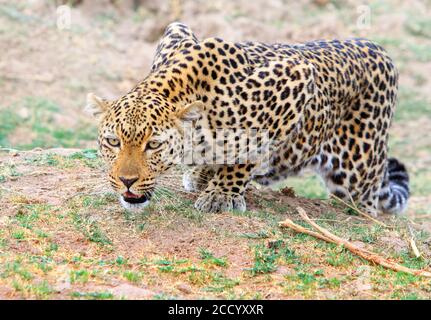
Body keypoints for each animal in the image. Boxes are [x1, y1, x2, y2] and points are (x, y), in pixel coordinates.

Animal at [85, 21, 412, 218]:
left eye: (153, 145)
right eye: (113, 142)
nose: (127, 181)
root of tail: (379, 49)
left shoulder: (296, 77)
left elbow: (247, 151)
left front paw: (221, 194)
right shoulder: (176, 30)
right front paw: (205, 174)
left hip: (358, 174)